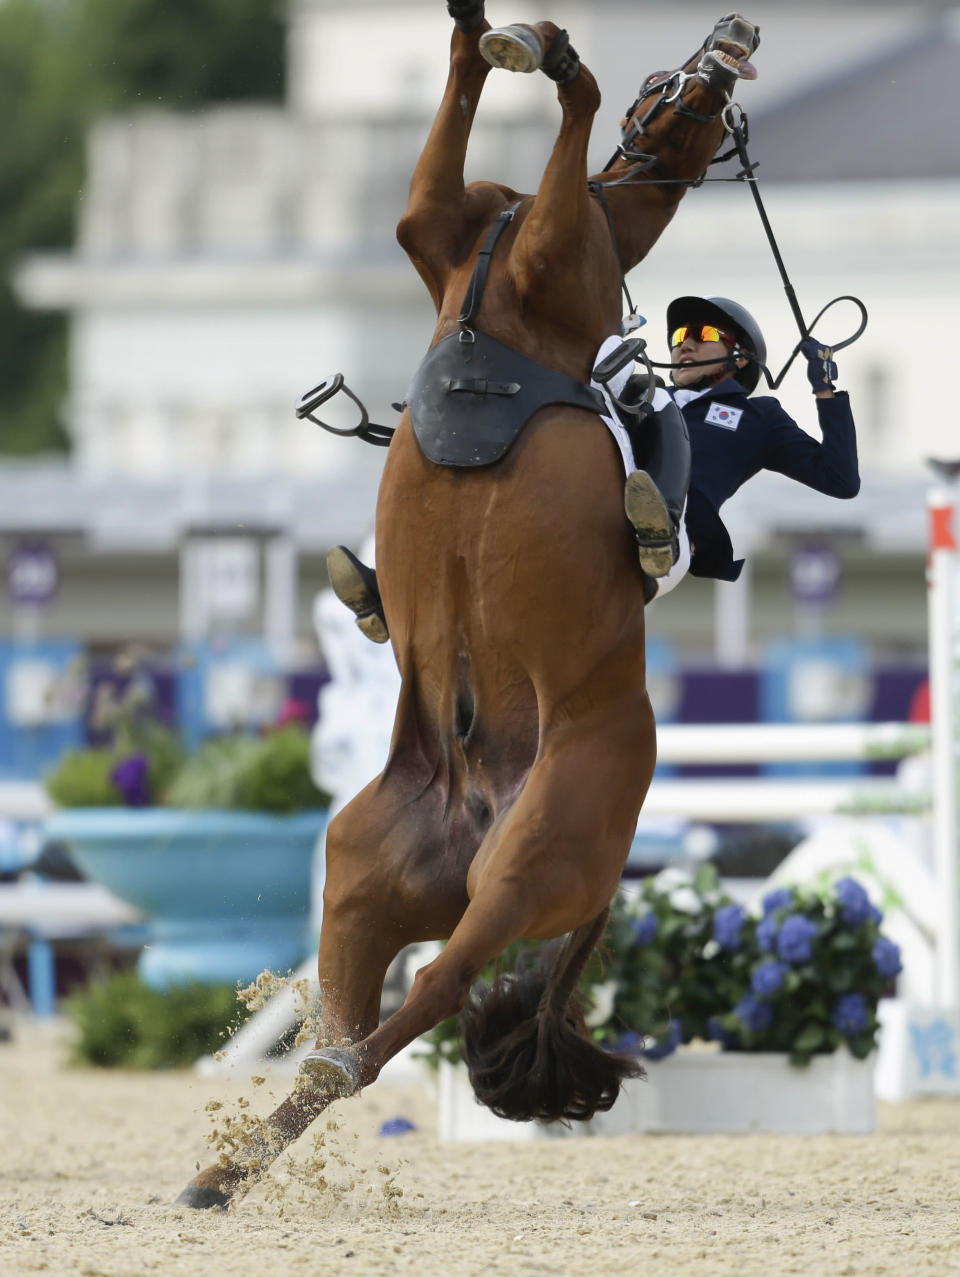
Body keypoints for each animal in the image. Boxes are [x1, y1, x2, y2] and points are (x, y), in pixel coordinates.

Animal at [174, 4, 755, 1210]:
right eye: (676, 74)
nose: (735, 33)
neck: (505, 272)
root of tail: (481, 811)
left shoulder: (555, 251)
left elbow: (570, 117)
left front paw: (541, 49)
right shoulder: (441, 216)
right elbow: (458, 114)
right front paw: (488, 29)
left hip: (526, 871)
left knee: (430, 993)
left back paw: (262, 1136)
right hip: (366, 869)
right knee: (356, 1017)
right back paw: (231, 1161)